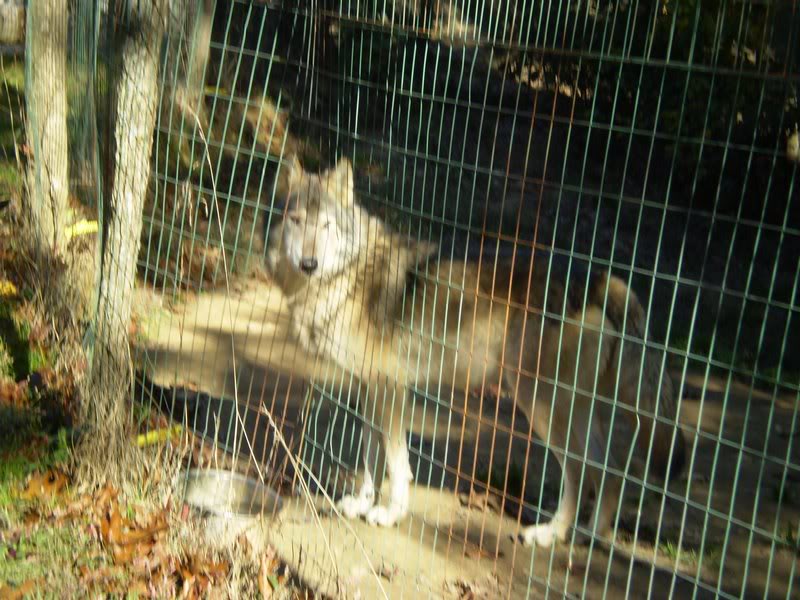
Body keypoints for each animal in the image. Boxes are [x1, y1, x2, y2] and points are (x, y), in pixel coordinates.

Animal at [265, 156, 686, 547]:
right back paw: (585, 536)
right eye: (296, 220)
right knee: (611, 470)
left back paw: (550, 534)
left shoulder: (391, 387)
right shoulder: (369, 387)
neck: (343, 278)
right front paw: (362, 502)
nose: (309, 263)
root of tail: (598, 278)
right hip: (568, 412)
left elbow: (397, 464)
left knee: (583, 474)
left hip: (540, 406)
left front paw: (390, 513)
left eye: (326, 226)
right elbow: (370, 454)